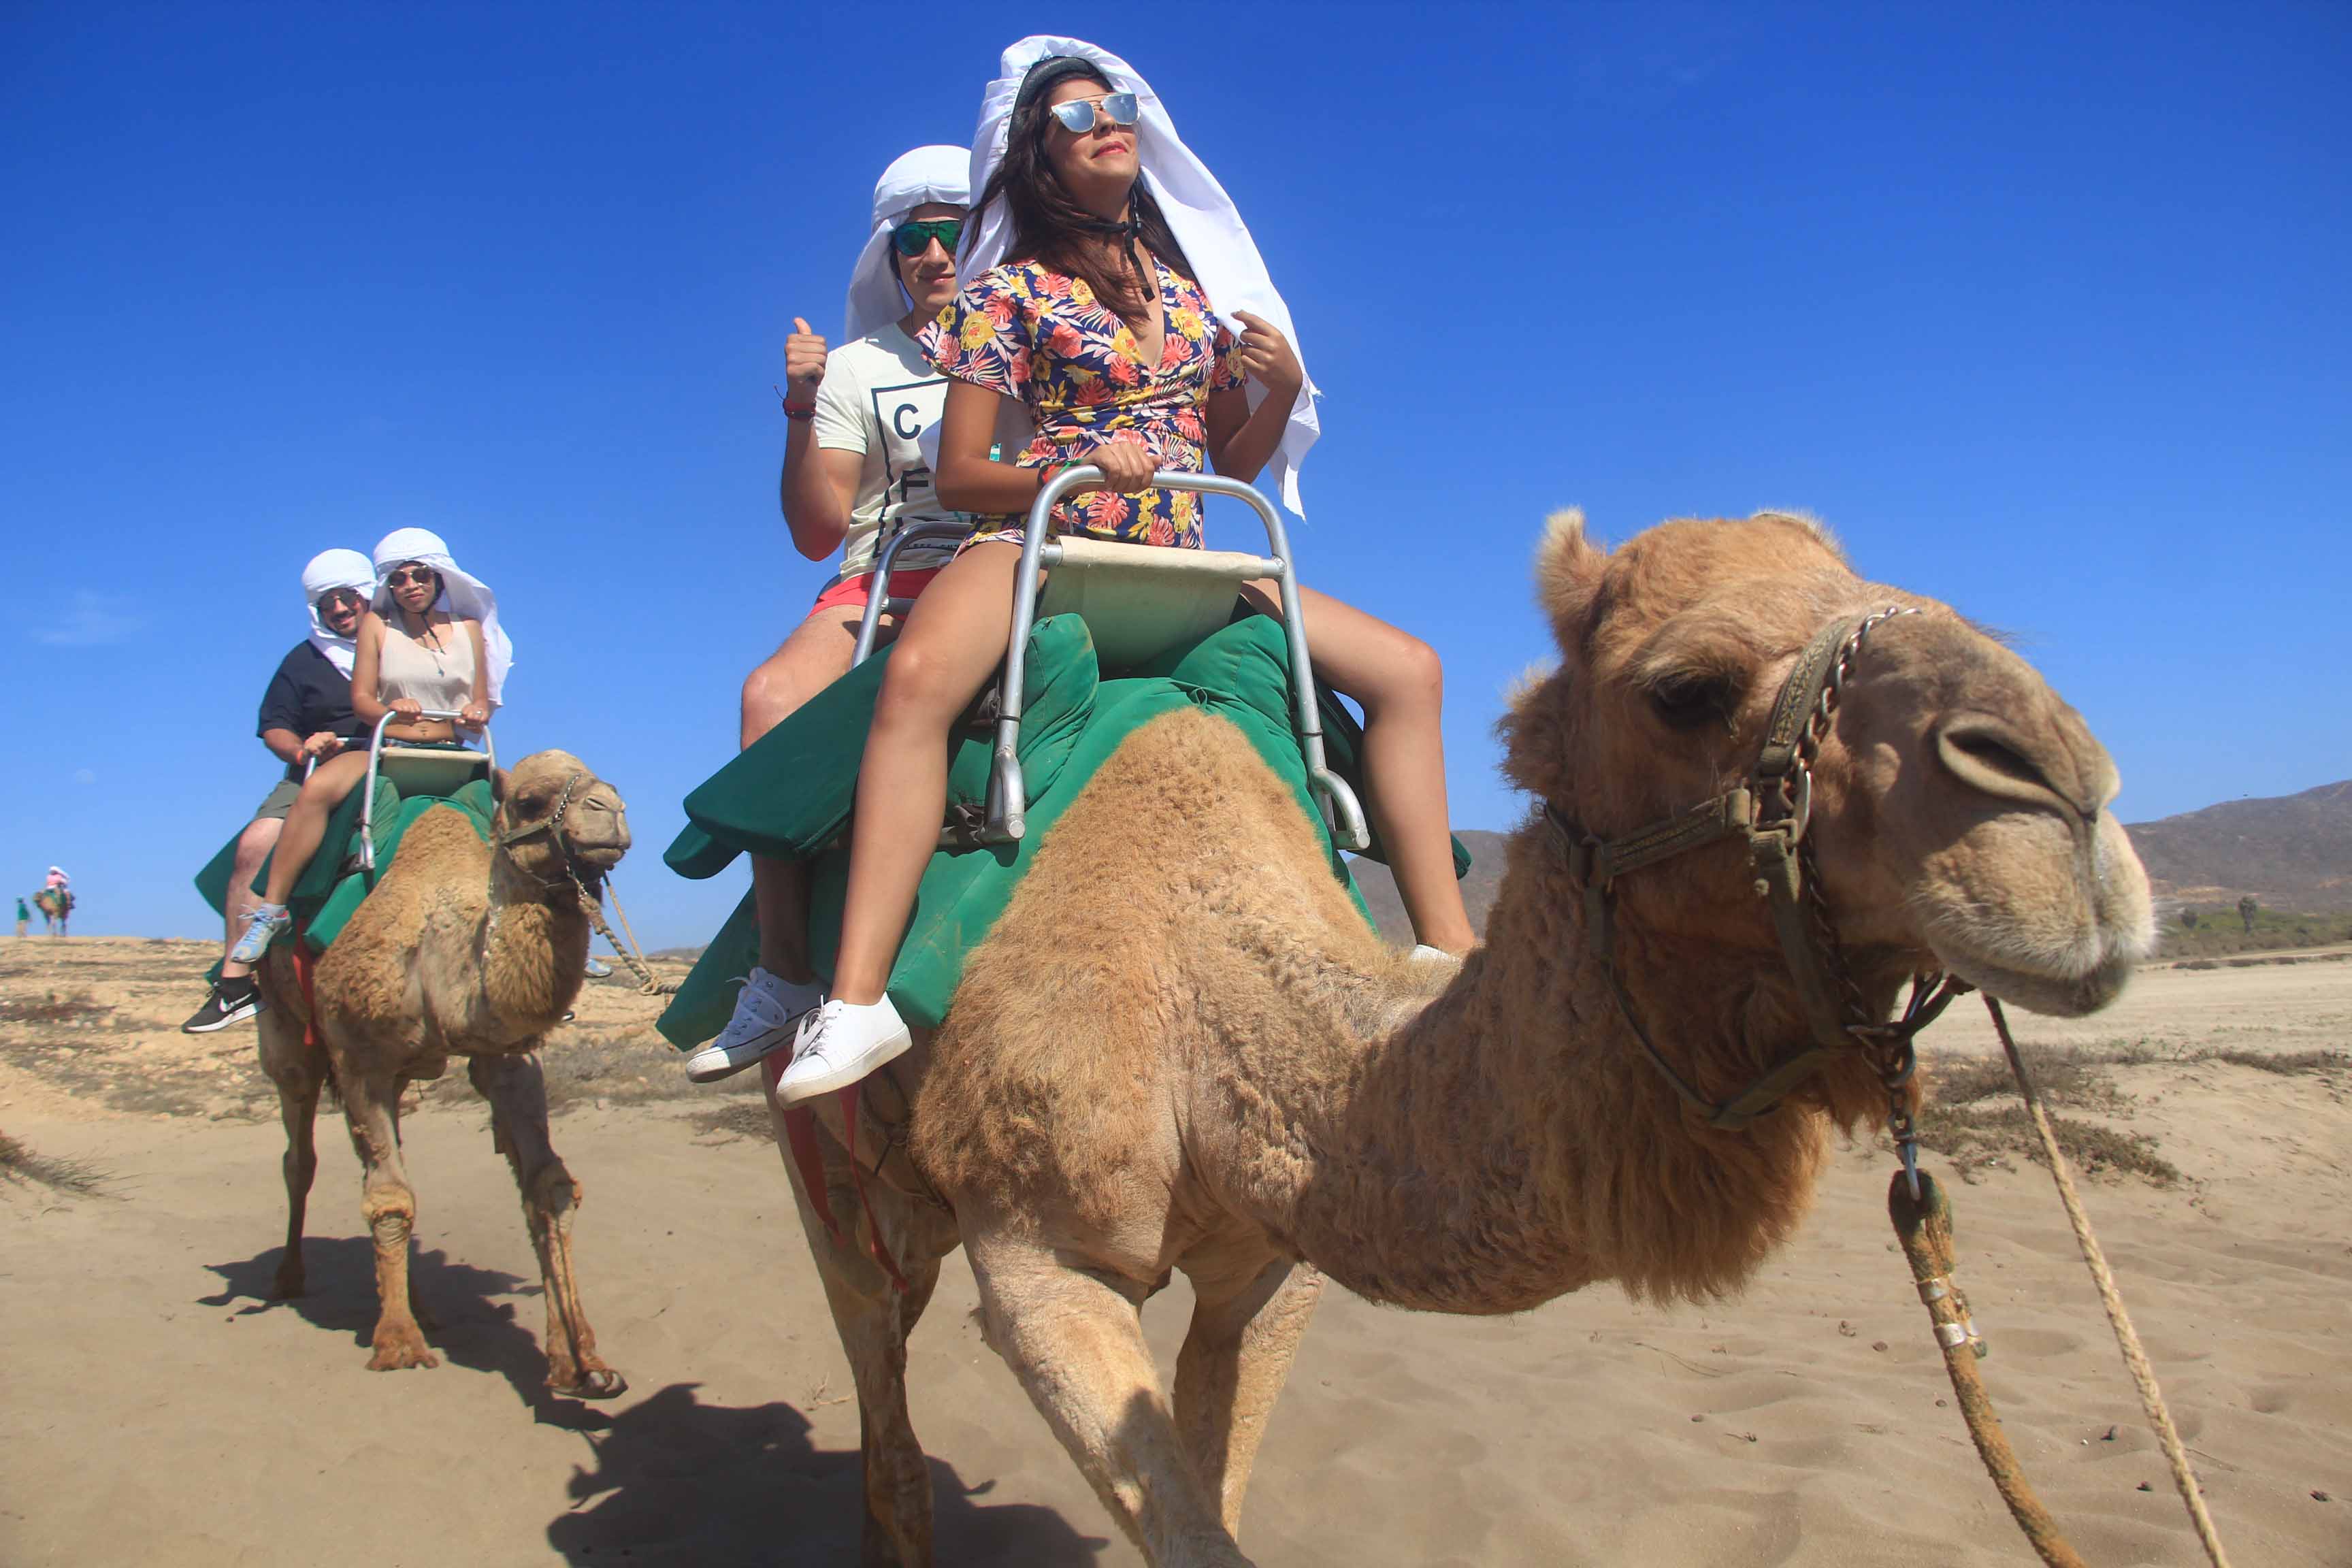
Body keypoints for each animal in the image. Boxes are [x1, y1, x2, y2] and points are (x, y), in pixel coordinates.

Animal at [253, 748, 634, 1398]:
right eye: (529, 801)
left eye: (605, 782)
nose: (609, 811)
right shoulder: (359, 1057)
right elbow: (389, 1199)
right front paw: (398, 1344)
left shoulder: (507, 1053)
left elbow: (549, 1187)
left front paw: (581, 1361)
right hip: (287, 1036)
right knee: (300, 1154)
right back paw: (289, 1278)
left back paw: (420, 1304)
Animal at [771, 510, 2157, 1566]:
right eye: (1685, 688)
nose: (2065, 797)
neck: (1193, 981)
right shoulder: (1037, 1256)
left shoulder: (1273, 1263)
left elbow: (1217, 1496)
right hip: (841, 1196)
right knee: (884, 1405)